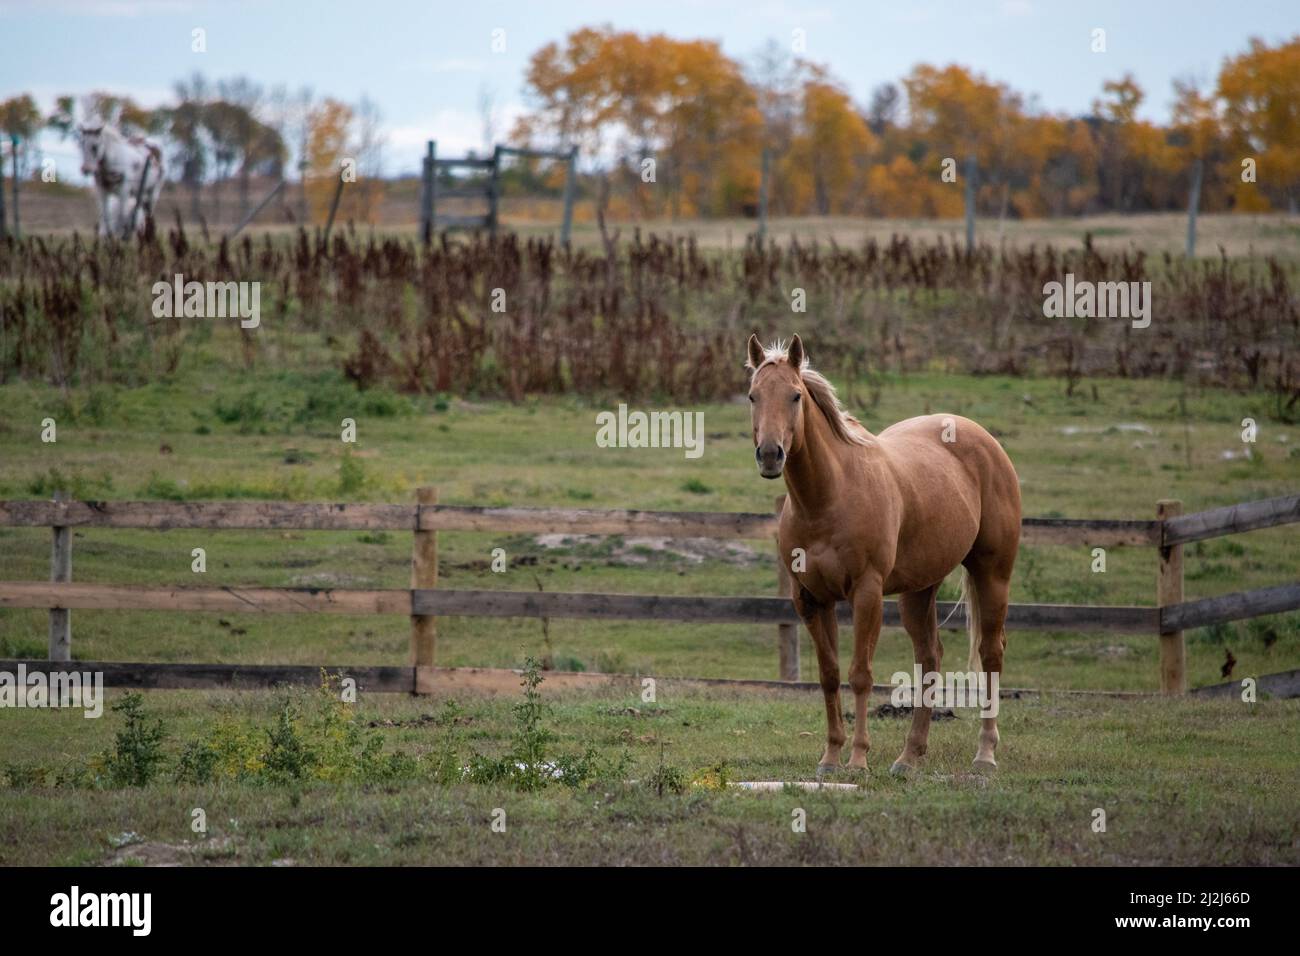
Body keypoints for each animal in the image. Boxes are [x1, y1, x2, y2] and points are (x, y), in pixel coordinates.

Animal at [746, 333, 1021, 776]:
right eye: (753, 395)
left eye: (795, 396)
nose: (770, 455)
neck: (827, 497)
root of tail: (983, 439)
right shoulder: (810, 600)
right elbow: (829, 674)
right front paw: (830, 758)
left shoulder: (867, 593)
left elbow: (860, 674)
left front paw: (858, 760)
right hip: (919, 590)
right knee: (929, 657)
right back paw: (909, 757)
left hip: (992, 573)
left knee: (991, 653)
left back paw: (985, 755)